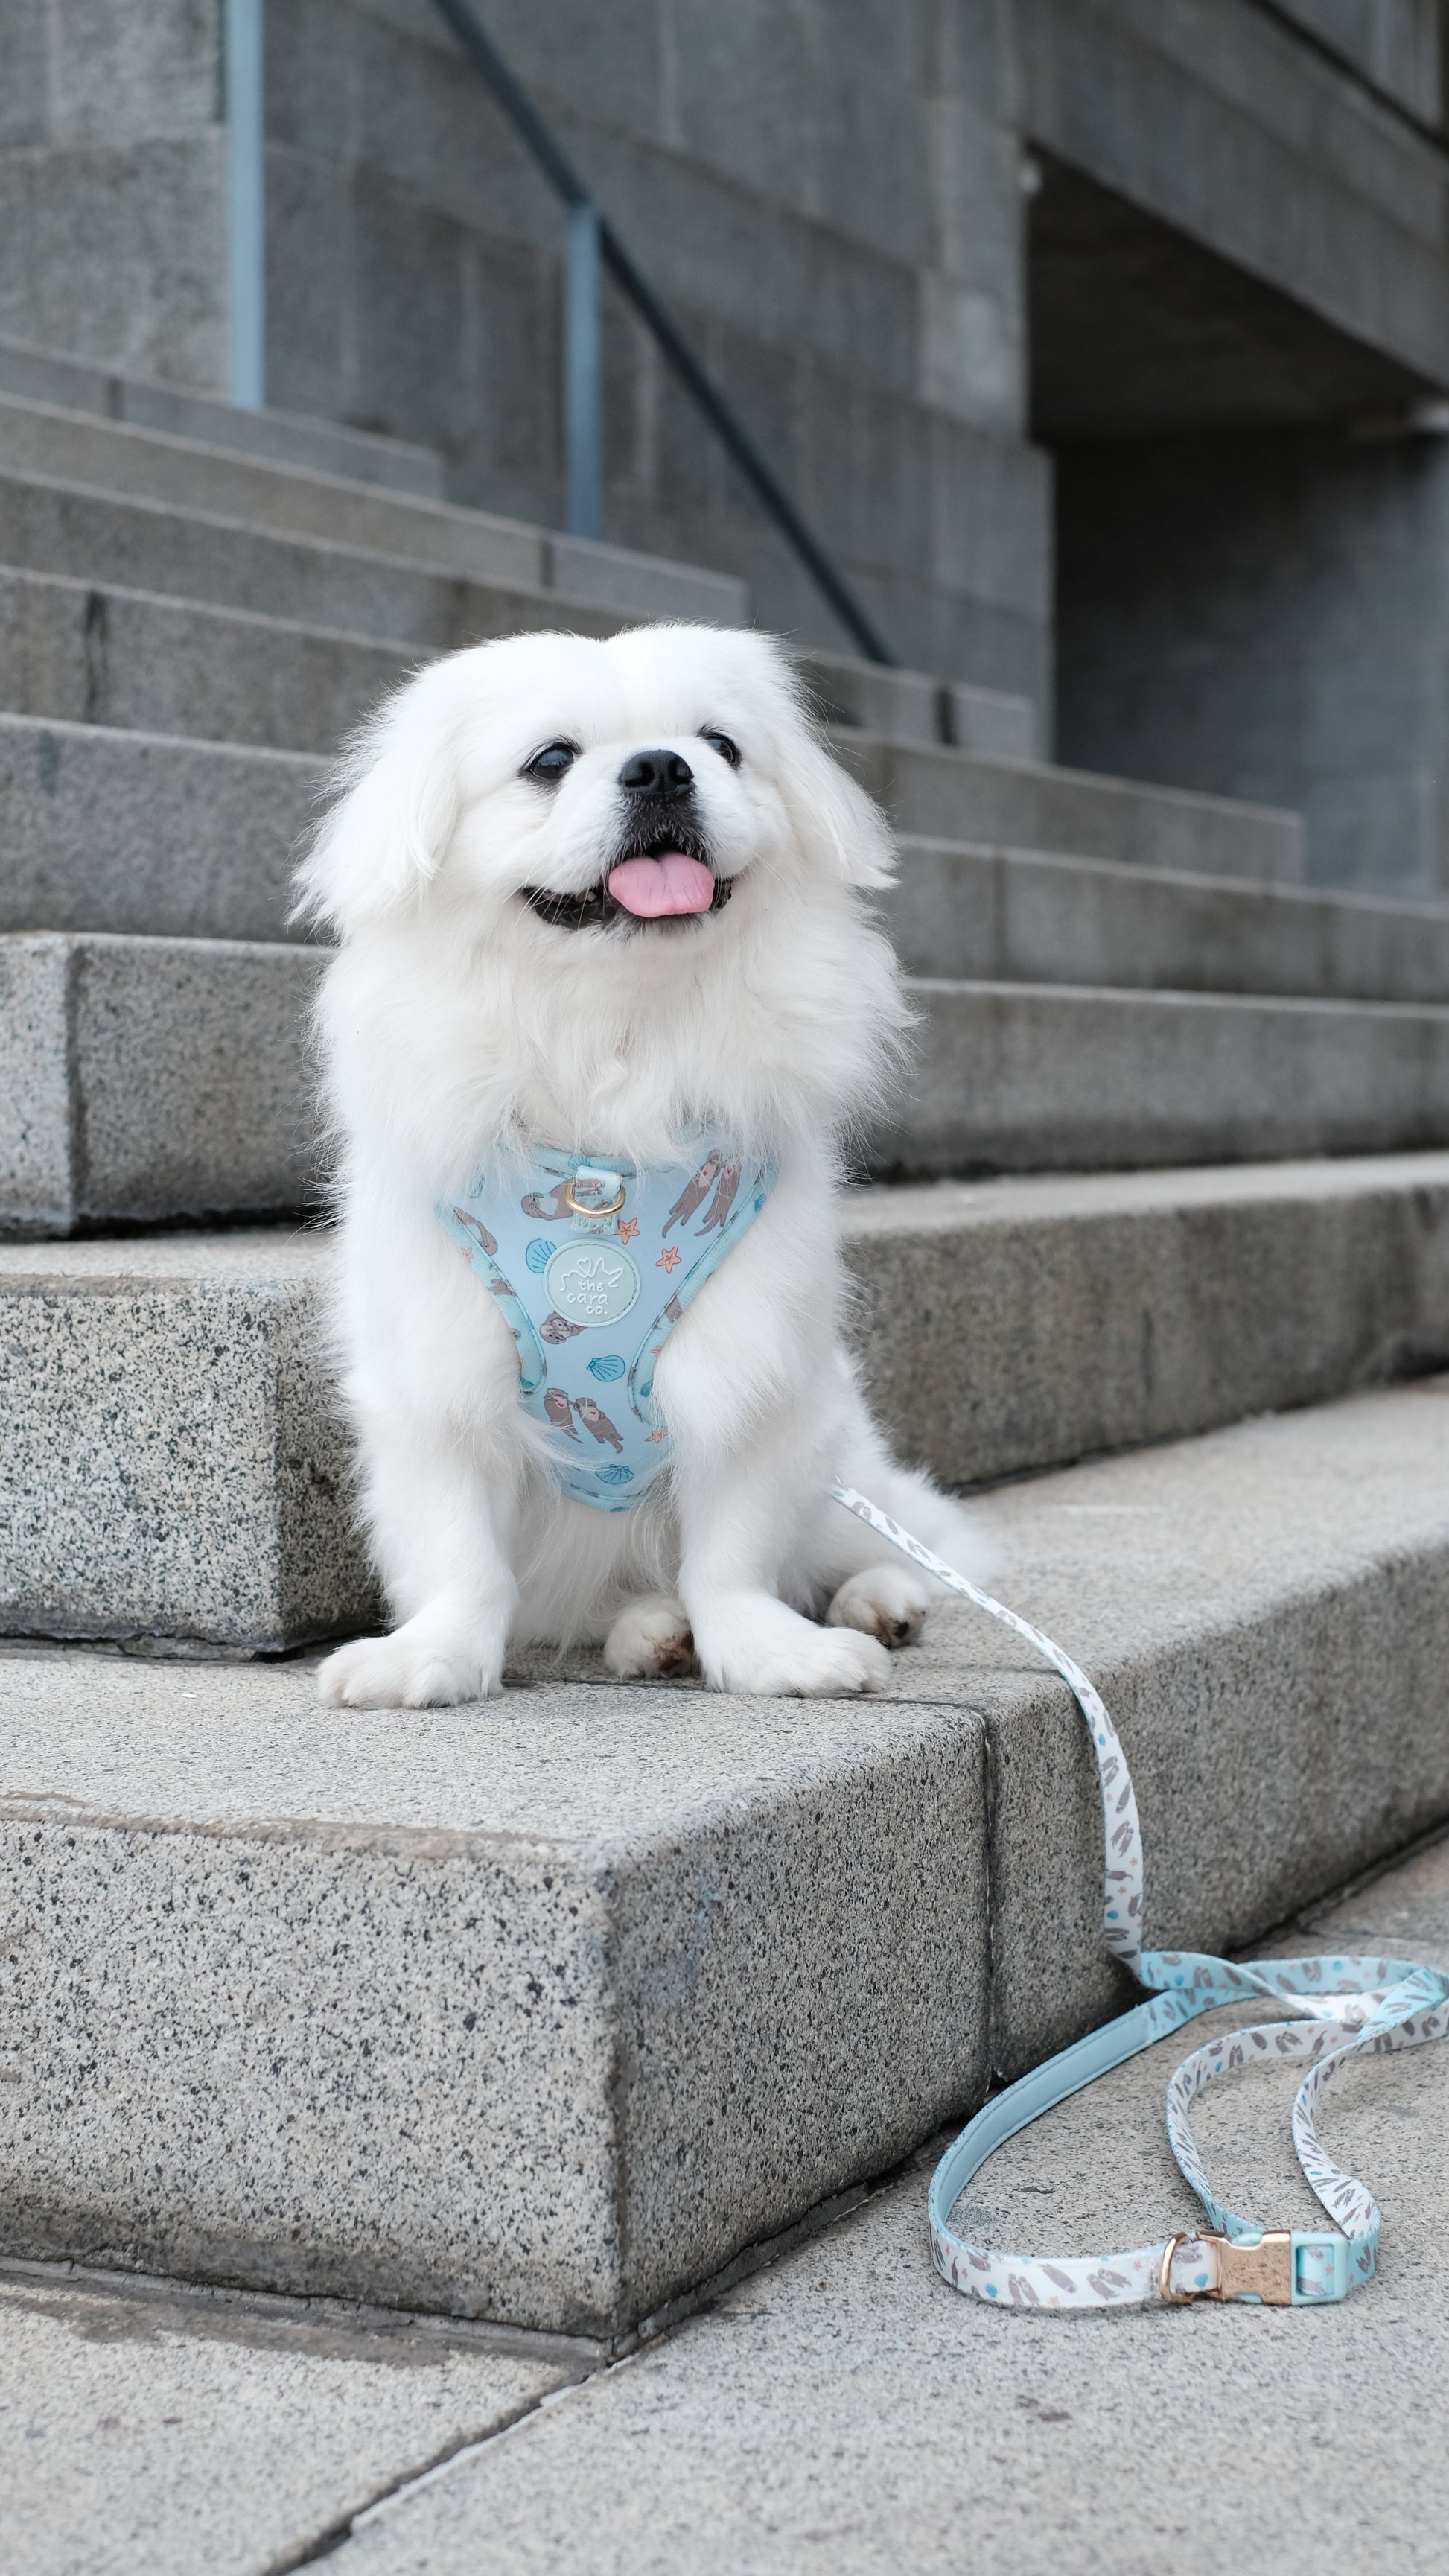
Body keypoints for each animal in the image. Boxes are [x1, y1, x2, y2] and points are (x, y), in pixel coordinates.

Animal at [303, 623, 988, 1710]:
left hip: (837, 1448)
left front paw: (766, 1652)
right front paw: (433, 1657)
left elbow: (733, 1553)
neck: (618, 1041)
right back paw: (647, 1632)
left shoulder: (752, 1372)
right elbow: (460, 1552)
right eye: (550, 760)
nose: (662, 766)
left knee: (849, 1546)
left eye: (721, 745)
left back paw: (878, 1598)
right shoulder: (439, 1379)